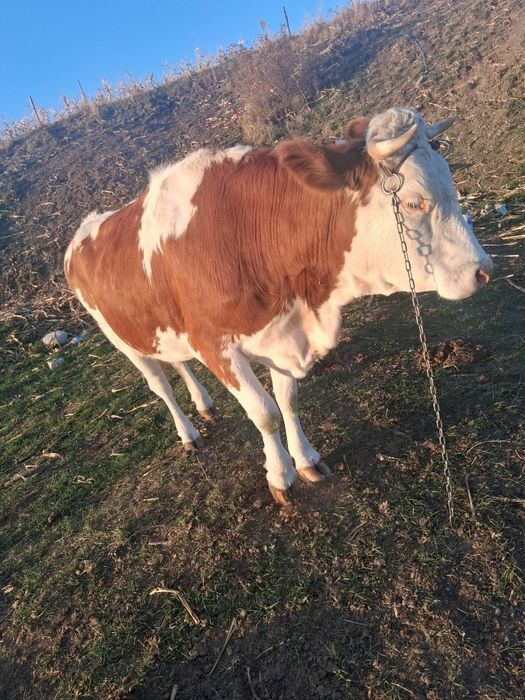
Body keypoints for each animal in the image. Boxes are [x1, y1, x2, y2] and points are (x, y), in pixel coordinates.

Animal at [65, 107, 493, 505]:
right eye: (414, 201)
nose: (483, 271)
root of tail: (85, 229)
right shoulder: (214, 344)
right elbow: (265, 413)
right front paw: (280, 475)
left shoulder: (284, 331)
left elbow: (288, 401)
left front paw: (306, 460)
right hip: (120, 338)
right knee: (159, 384)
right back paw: (188, 433)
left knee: (177, 361)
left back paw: (203, 404)